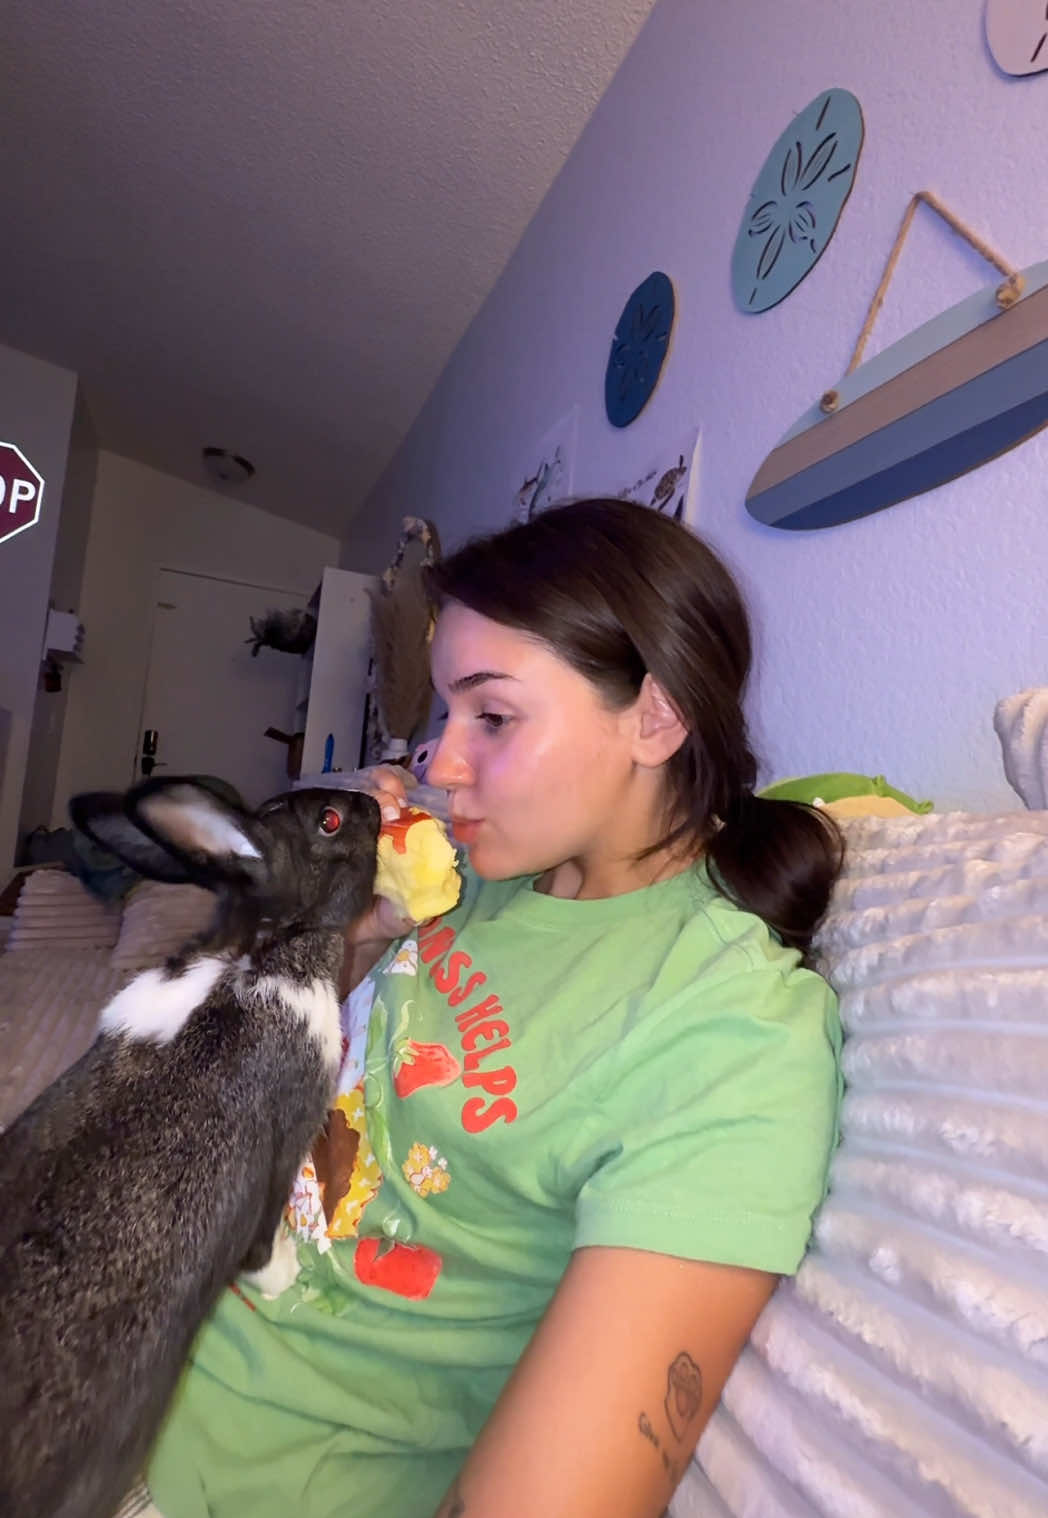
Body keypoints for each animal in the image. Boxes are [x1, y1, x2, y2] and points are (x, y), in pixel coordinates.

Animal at [0, 776, 381, 1518]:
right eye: (328, 821)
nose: (378, 806)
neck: (260, 948)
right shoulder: (282, 1146)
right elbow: (260, 1244)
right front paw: (284, 1270)